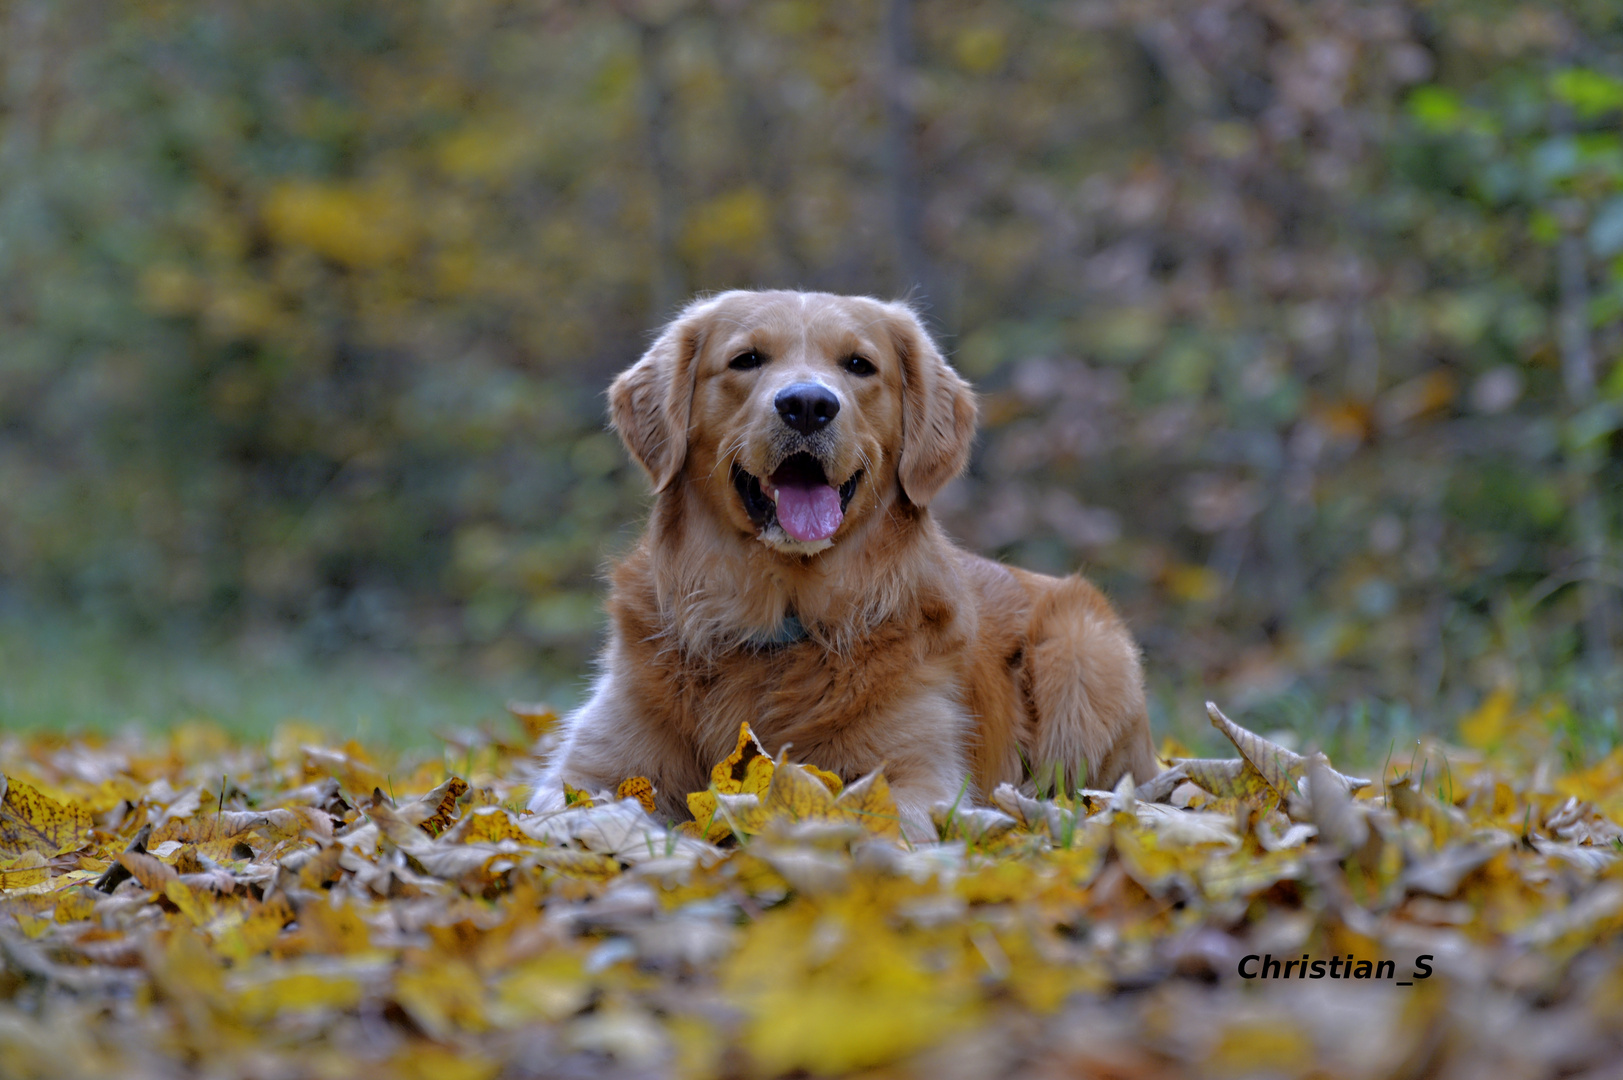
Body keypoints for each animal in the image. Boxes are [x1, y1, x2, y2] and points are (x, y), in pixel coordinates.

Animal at [532, 289, 1155, 831]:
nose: (807, 405)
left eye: (859, 365)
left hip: (1082, 652)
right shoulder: (590, 768)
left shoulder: (918, 776)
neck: (781, 620)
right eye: (746, 360)